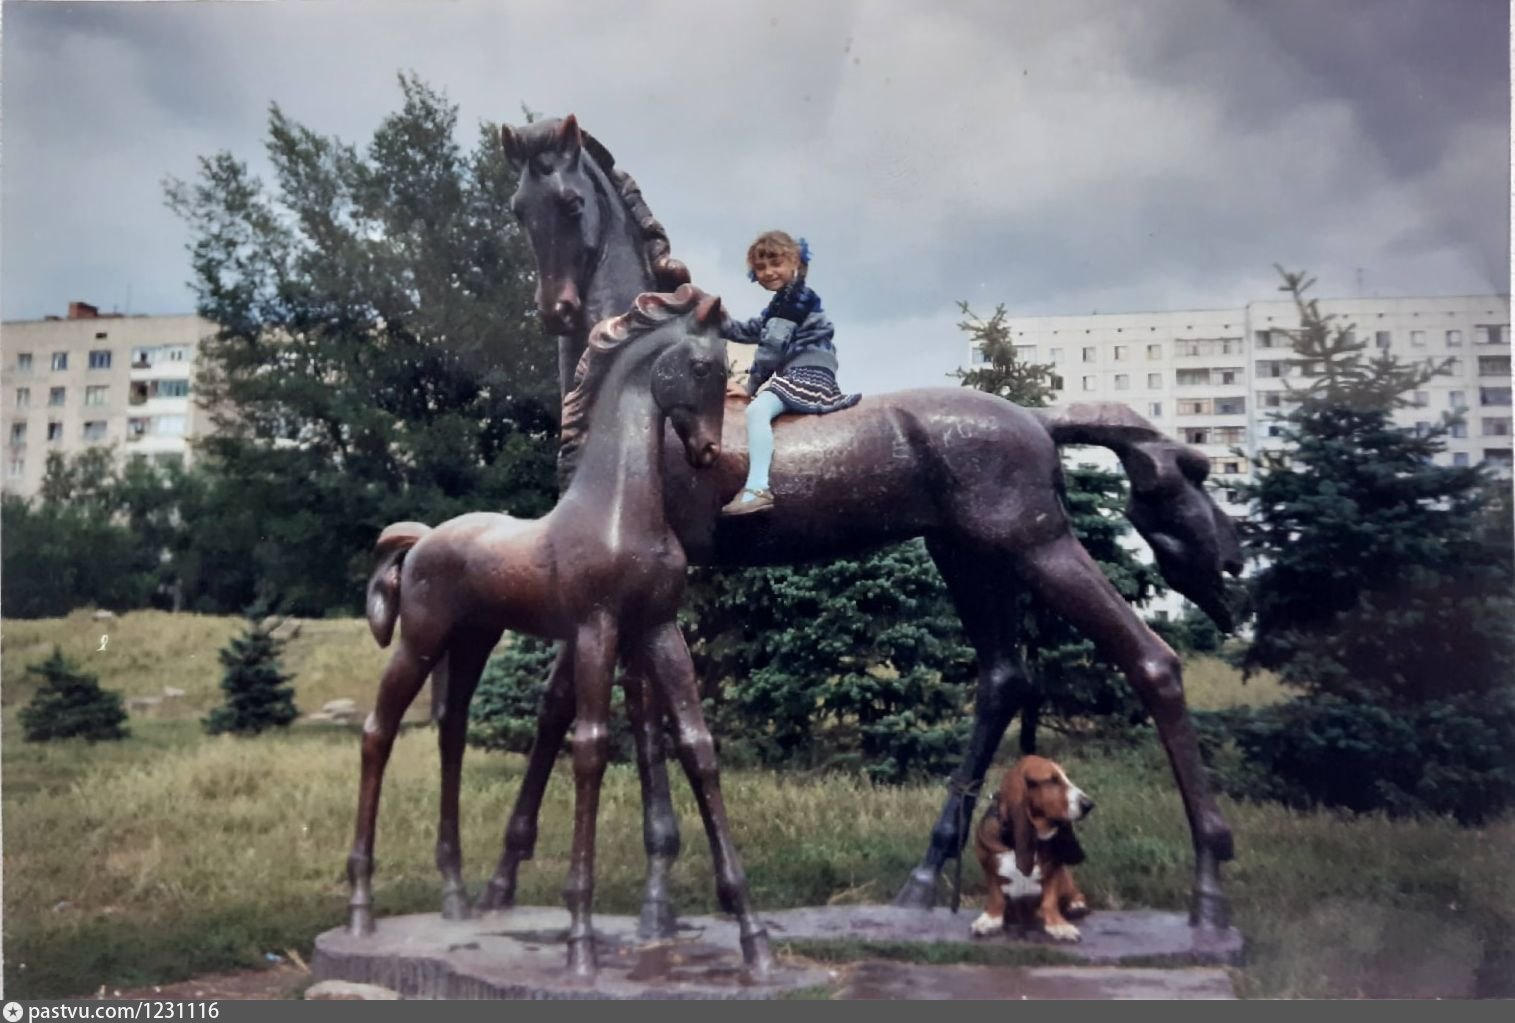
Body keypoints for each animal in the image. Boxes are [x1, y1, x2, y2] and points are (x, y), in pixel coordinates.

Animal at [975, 757, 1096, 939]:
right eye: (1052, 780)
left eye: (1066, 777)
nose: (1089, 804)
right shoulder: (987, 864)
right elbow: (996, 896)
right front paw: (991, 919)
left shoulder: (1054, 869)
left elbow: (1049, 901)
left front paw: (1058, 925)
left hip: (1066, 878)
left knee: (1075, 893)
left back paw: (1075, 905)